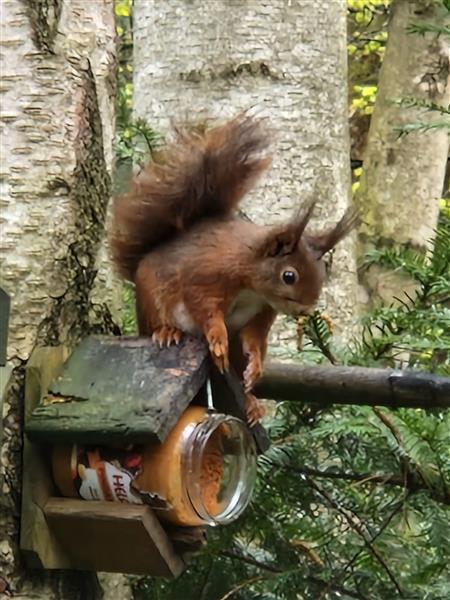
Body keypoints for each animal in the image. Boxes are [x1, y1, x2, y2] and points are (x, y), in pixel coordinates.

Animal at [110, 115, 358, 424]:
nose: (306, 309)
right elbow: (204, 309)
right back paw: (167, 332)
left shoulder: (262, 311)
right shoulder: (206, 276)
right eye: (289, 276)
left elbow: (254, 338)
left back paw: (251, 402)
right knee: (159, 320)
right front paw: (217, 339)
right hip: (151, 299)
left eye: (322, 272)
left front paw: (256, 365)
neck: (251, 283)